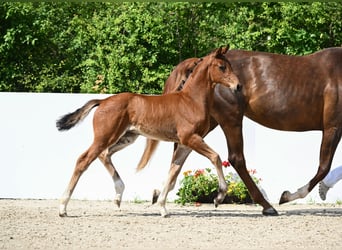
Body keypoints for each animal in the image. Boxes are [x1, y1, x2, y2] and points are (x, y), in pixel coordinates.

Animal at [57, 47, 239, 217]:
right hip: (105, 137)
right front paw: (219, 197)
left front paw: (162, 207)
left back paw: (118, 196)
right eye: (222, 67)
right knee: (84, 160)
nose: (237, 86)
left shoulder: (186, 144)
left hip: (127, 137)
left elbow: (174, 170)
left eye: (230, 66)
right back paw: (63, 207)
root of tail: (102, 101)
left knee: (104, 155)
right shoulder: (190, 138)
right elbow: (215, 157)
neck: (191, 101)